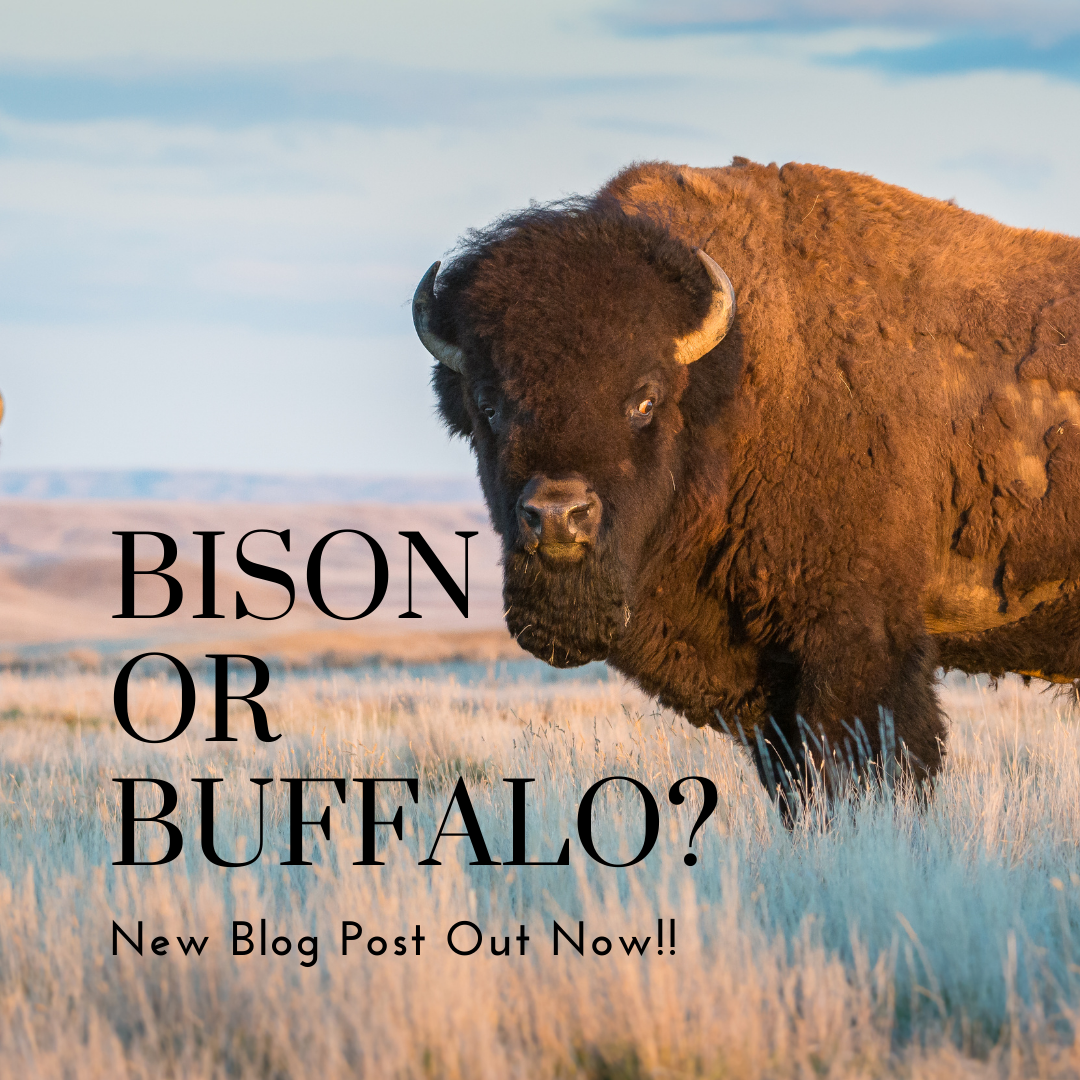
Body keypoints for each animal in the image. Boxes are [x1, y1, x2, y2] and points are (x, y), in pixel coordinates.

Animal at [412, 158, 1080, 811]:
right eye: (488, 406)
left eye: (644, 400)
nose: (557, 515)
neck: (733, 382)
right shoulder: (766, 685)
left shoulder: (858, 639)